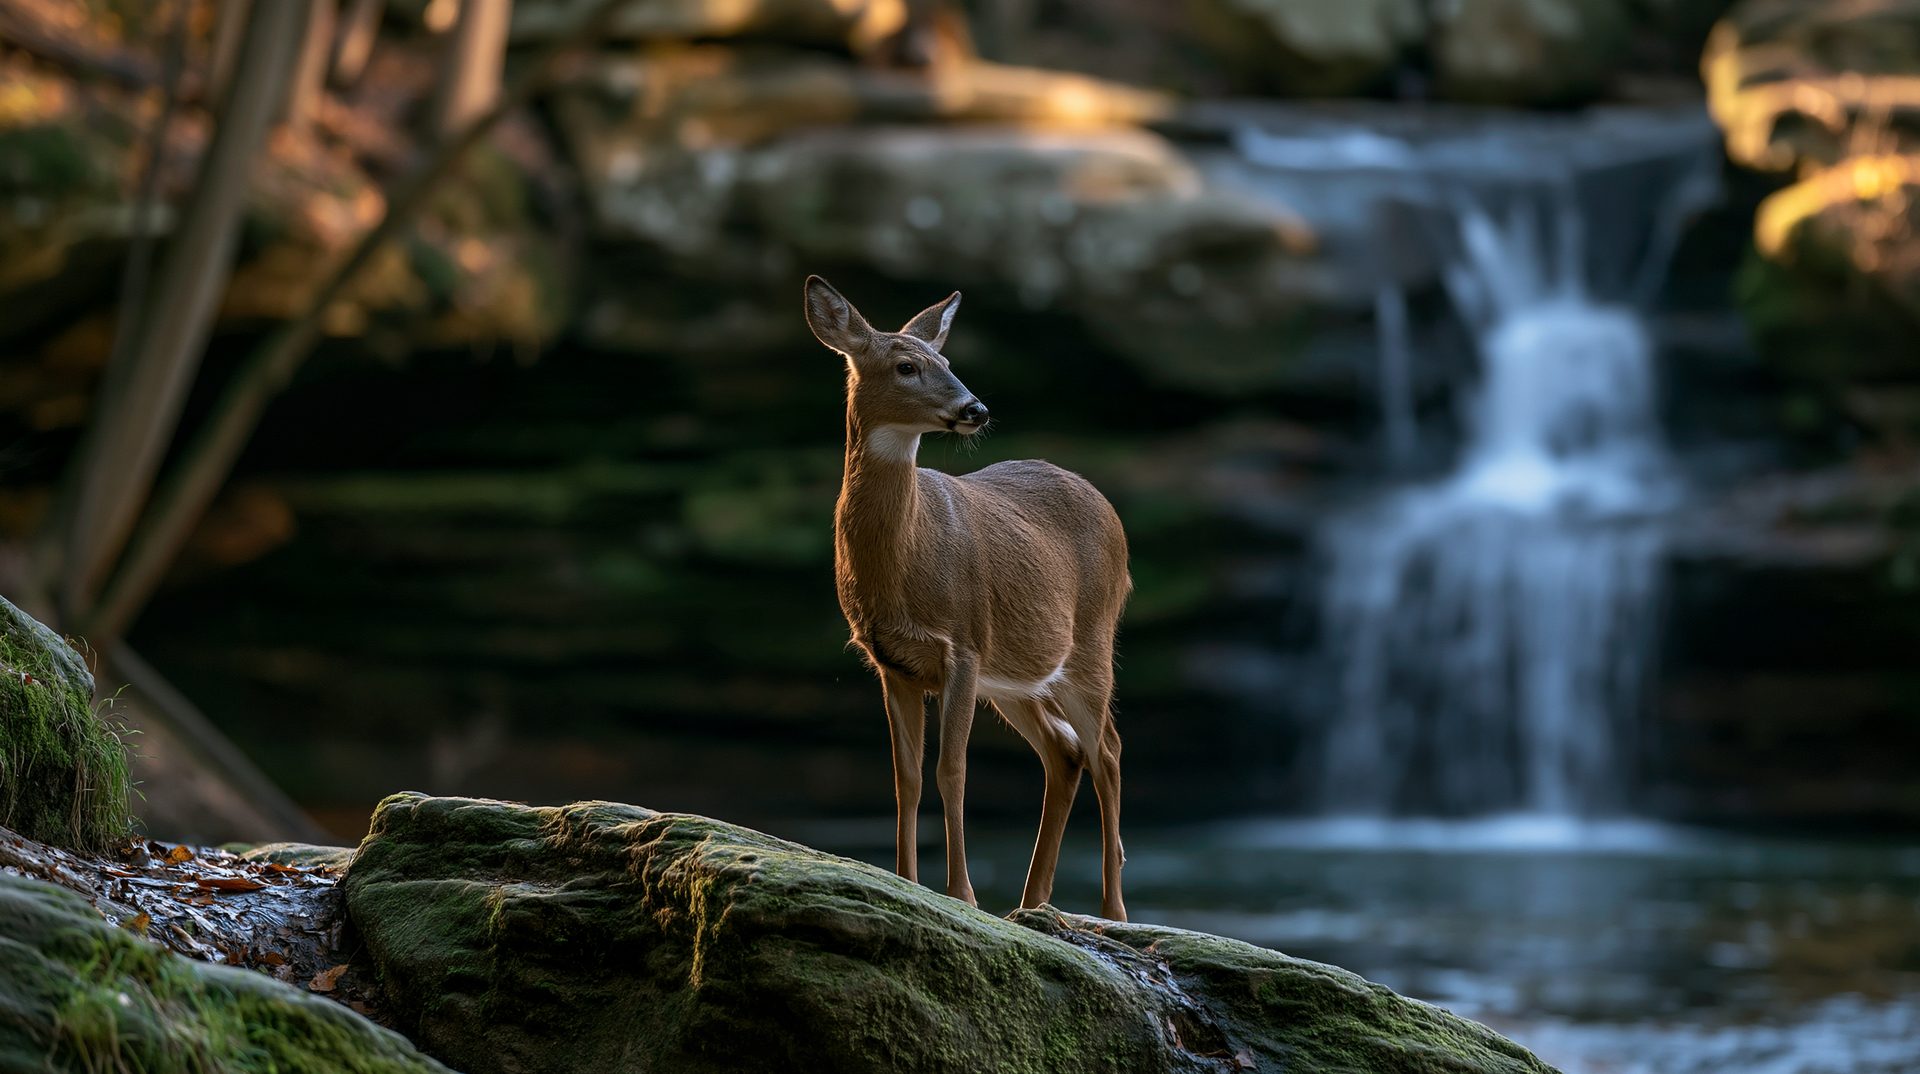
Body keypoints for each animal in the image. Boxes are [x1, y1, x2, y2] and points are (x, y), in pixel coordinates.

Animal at [802, 275, 1132, 921]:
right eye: (907, 365)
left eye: (948, 362)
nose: (974, 409)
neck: (906, 558)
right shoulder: (892, 661)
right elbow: (906, 777)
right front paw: (905, 880)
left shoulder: (963, 645)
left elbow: (951, 769)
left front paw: (961, 894)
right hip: (1016, 679)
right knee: (1066, 750)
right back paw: (1033, 904)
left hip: (1088, 643)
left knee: (1107, 750)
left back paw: (1111, 912)